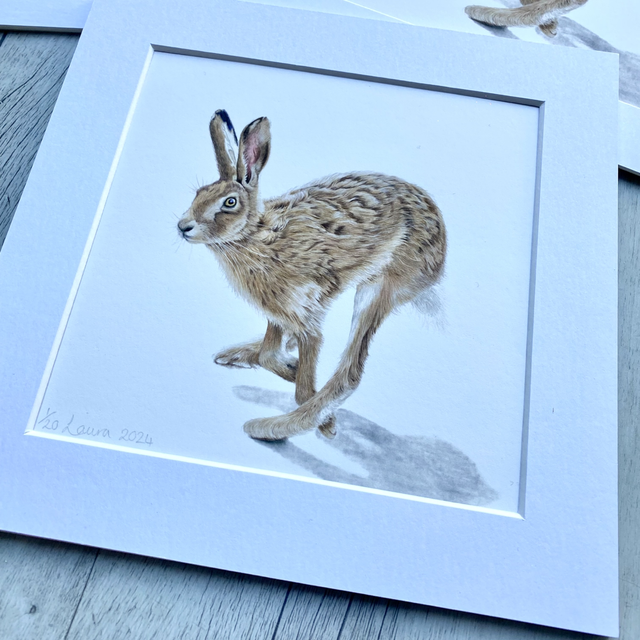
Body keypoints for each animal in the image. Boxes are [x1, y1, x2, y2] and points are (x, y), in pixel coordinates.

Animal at [177, 110, 446, 441]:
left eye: (229, 202)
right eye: (198, 194)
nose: (183, 226)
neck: (255, 235)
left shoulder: (306, 317)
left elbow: (299, 380)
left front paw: (308, 396)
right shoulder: (278, 313)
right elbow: (268, 352)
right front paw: (286, 364)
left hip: (380, 286)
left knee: (351, 373)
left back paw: (279, 426)